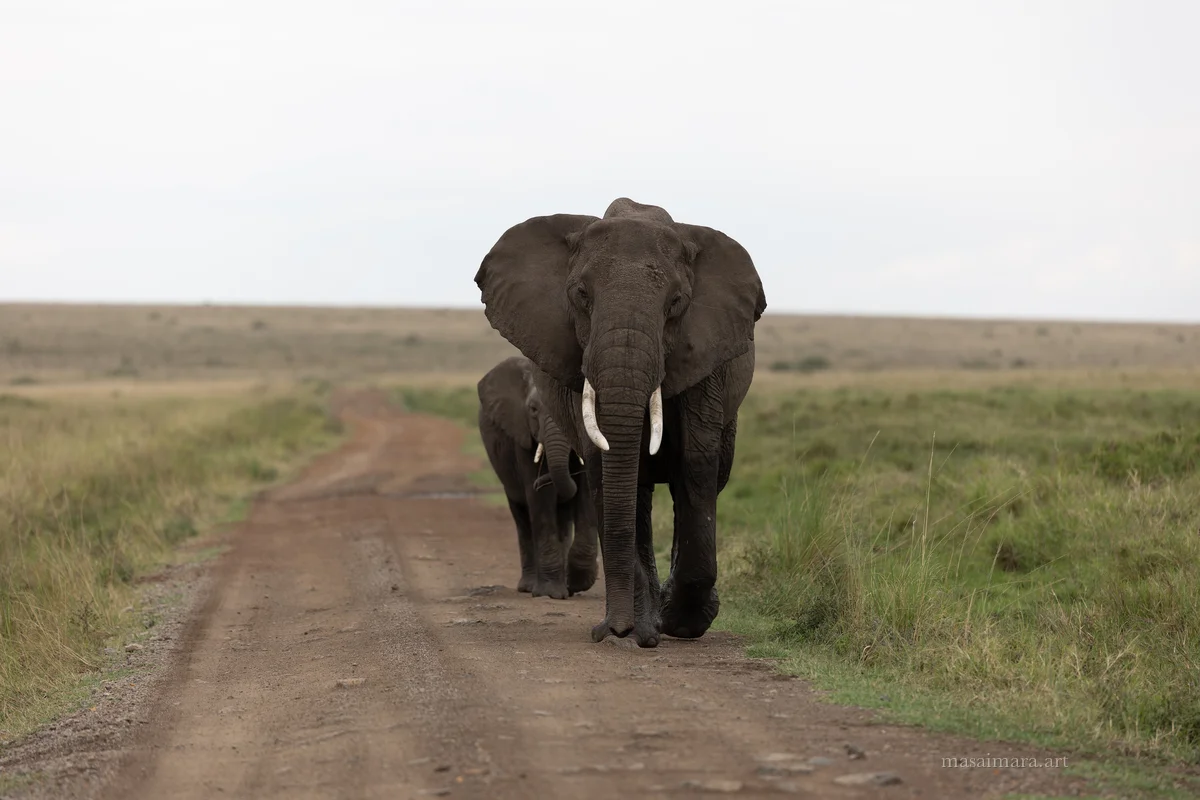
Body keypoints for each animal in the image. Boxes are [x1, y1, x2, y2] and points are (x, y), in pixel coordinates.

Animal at [477, 355, 600, 599]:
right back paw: (529, 587)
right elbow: (541, 499)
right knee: (522, 515)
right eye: (533, 409)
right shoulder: (522, 434)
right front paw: (550, 593)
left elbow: (585, 492)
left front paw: (576, 584)